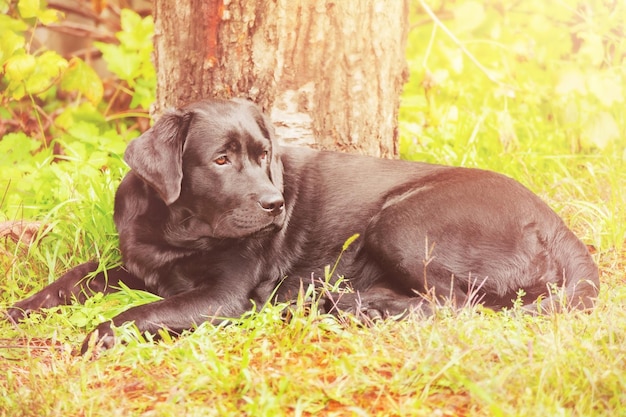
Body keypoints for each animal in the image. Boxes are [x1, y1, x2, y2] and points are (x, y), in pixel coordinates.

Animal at [6, 98, 600, 352]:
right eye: (220, 160)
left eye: (264, 154)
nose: (276, 204)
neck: (178, 231)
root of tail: (557, 224)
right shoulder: (132, 262)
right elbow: (74, 279)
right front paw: (17, 310)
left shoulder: (221, 298)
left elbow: (140, 312)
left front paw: (96, 336)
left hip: (402, 221)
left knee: (457, 308)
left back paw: (346, 304)